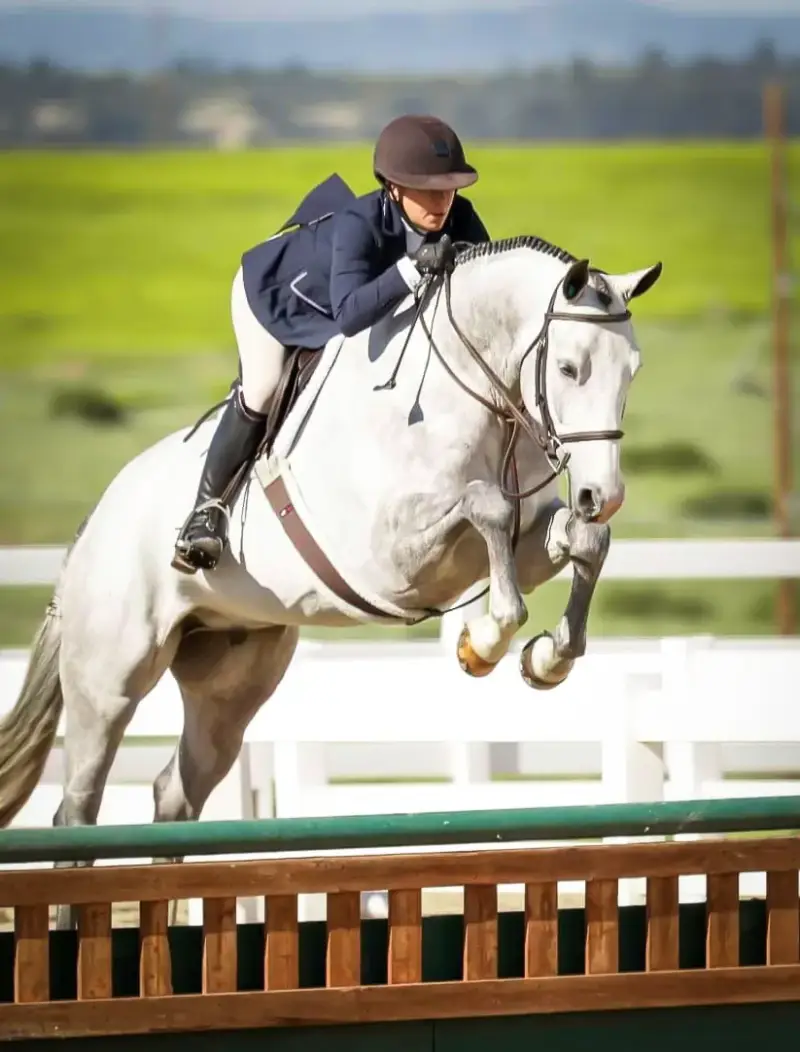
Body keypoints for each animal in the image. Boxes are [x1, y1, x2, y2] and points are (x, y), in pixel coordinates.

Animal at [0, 234, 661, 926]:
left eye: (631, 370)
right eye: (569, 368)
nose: (601, 495)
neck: (464, 396)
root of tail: (90, 529)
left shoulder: (511, 548)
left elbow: (578, 540)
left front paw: (548, 656)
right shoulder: (393, 561)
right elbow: (489, 506)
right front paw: (484, 642)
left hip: (231, 684)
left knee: (176, 796)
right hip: (110, 678)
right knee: (78, 811)